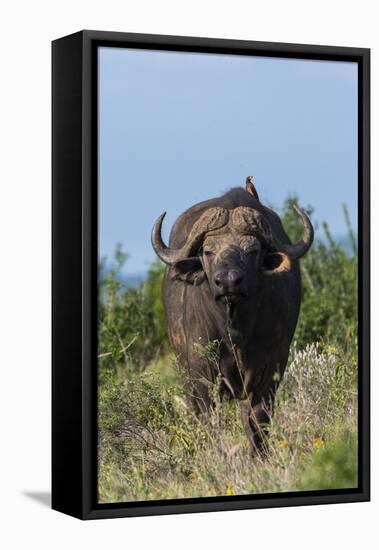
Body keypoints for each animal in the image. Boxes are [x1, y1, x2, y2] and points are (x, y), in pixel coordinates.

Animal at [151, 179, 314, 454]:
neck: (234, 328)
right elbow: (207, 418)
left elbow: (258, 419)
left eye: (252, 250)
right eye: (208, 251)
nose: (228, 281)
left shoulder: (270, 367)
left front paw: (259, 456)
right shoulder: (201, 373)